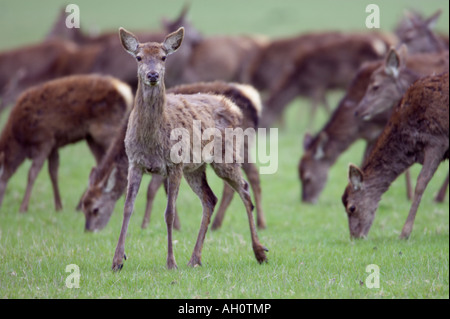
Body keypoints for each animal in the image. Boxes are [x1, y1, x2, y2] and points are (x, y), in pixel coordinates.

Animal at [0, 74, 134, 214]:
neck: (20, 139)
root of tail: (125, 91)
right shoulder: (53, 145)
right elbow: (53, 172)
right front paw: (58, 206)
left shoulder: (44, 139)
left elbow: (32, 173)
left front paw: (23, 208)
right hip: (91, 137)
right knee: (101, 163)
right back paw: (81, 204)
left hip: (106, 129)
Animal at [81, 81, 266, 234]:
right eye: (83, 206)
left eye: (95, 209)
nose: (89, 230)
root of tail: (253, 100)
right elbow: (164, 189)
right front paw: (176, 225)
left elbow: (152, 189)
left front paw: (146, 224)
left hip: (240, 144)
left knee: (249, 177)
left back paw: (241, 224)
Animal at [112, 26, 268, 272]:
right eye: (138, 57)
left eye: (163, 57)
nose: (153, 75)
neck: (151, 140)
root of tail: (232, 107)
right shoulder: (135, 163)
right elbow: (128, 207)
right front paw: (117, 260)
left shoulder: (174, 164)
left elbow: (169, 212)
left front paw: (170, 262)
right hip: (195, 168)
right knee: (210, 199)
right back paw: (195, 258)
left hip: (226, 157)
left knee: (243, 189)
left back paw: (260, 252)